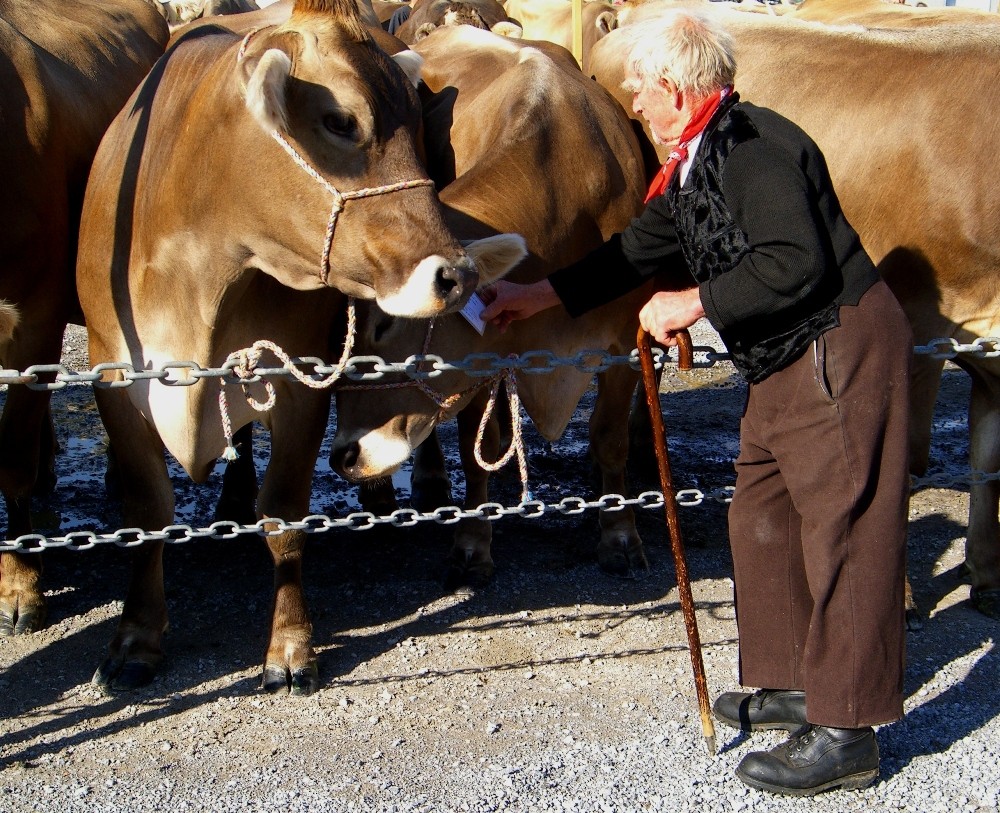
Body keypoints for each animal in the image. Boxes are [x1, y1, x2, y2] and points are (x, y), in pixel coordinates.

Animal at [77, 0, 524, 692]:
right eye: (341, 120)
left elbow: (285, 514)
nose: (456, 275)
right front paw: (136, 638)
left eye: (418, 129)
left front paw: (290, 646)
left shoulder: (300, 382)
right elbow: (148, 510)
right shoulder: (114, 375)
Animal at [324, 25, 644, 584]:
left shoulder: (622, 342)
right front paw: (472, 544)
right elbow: (476, 456)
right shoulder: (477, 362)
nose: (344, 455)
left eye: (386, 323)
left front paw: (619, 534)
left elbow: (610, 438)